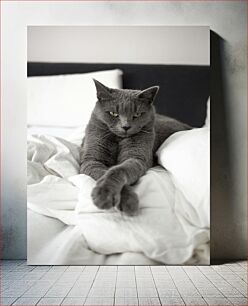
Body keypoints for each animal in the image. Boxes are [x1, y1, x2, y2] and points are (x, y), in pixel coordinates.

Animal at [79, 80, 190, 216]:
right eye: (113, 113)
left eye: (137, 114)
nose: (126, 126)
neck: (118, 140)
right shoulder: (91, 159)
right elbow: (103, 172)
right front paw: (106, 196)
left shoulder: (136, 157)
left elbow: (118, 170)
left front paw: (126, 202)